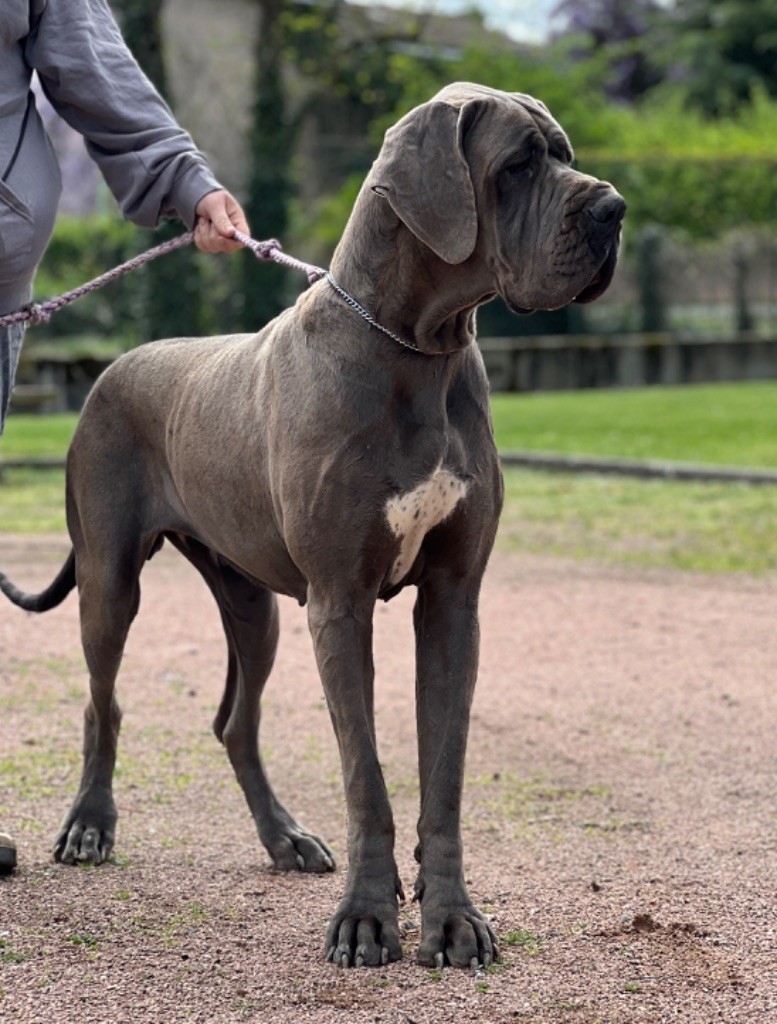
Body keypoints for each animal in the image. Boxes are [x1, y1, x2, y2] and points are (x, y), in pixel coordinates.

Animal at [0, 81, 622, 966]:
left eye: (564, 154)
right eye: (517, 164)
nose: (613, 208)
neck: (416, 349)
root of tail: (114, 366)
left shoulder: (452, 601)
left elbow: (443, 774)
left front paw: (450, 916)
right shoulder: (339, 601)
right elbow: (366, 774)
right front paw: (366, 918)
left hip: (250, 601)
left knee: (234, 722)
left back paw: (284, 837)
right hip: (109, 579)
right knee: (102, 702)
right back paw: (89, 826)